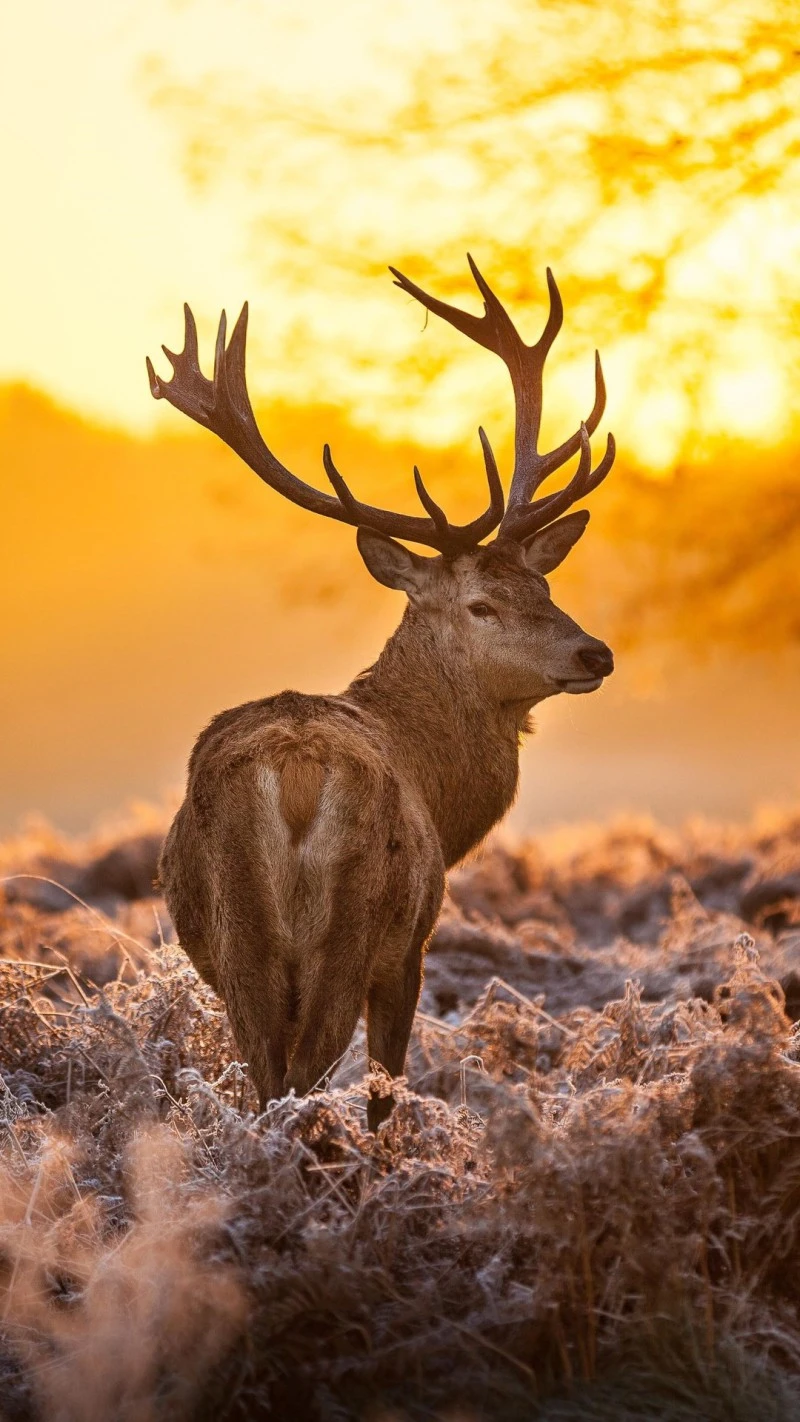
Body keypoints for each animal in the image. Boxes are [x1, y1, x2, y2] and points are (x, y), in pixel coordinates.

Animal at [147, 256, 615, 1130]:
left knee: (267, 1078)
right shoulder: (412, 947)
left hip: (236, 939)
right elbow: (385, 1091)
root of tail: (295, 773)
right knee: (306, 1079)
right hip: (354, 925)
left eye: (543, 585)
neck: (440, 788)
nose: (595, 652)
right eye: (482, 604)